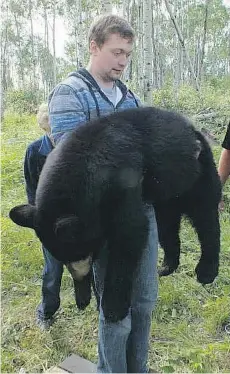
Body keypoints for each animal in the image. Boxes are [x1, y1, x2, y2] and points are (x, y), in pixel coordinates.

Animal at [9, 106, 222, 322]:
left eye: (85, 253)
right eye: (62, 258)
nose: (80, 280)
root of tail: (193, 129)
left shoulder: (122, 183)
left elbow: (130, 232)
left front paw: (113, 307)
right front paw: (83, 298)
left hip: (197, 171)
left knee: (205, 216)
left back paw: (206, 271)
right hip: (166, 195)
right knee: (167, 226)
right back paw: (167, 265)